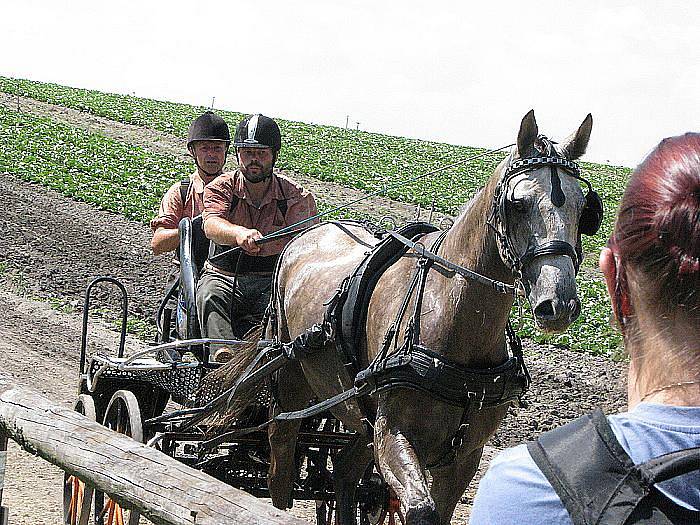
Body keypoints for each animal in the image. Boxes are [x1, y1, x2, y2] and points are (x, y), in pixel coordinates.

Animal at [217, 108, 596, 520]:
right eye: (519, 203)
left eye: (584, 208)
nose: (559, 303)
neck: (451, 318)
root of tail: (307, 233)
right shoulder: (394, 434)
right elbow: (419, 509)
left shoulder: (465, 456)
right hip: (292, 387)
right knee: (280, 463)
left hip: (359, 416)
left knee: (345, 471)